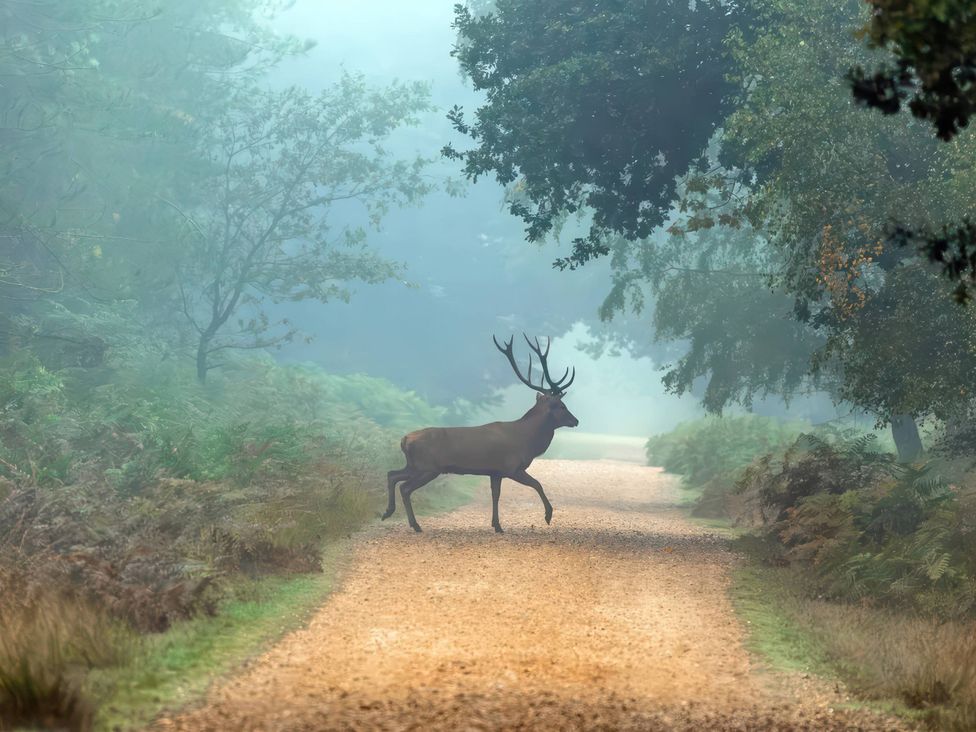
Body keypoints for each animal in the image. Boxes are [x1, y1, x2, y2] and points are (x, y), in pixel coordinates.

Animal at [382, 334, 579, 533]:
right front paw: (548, 515)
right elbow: (537, 484)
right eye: (562, 406)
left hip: (415, 465)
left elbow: (495, 495)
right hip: (428, 467)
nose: (576, 421)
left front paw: (496, 525)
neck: (527, 441)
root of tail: (404, 439)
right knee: (405, 487)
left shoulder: (495, 472)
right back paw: (414, 525)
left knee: (392, 474)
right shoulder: (512, 467)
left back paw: (388, 512)